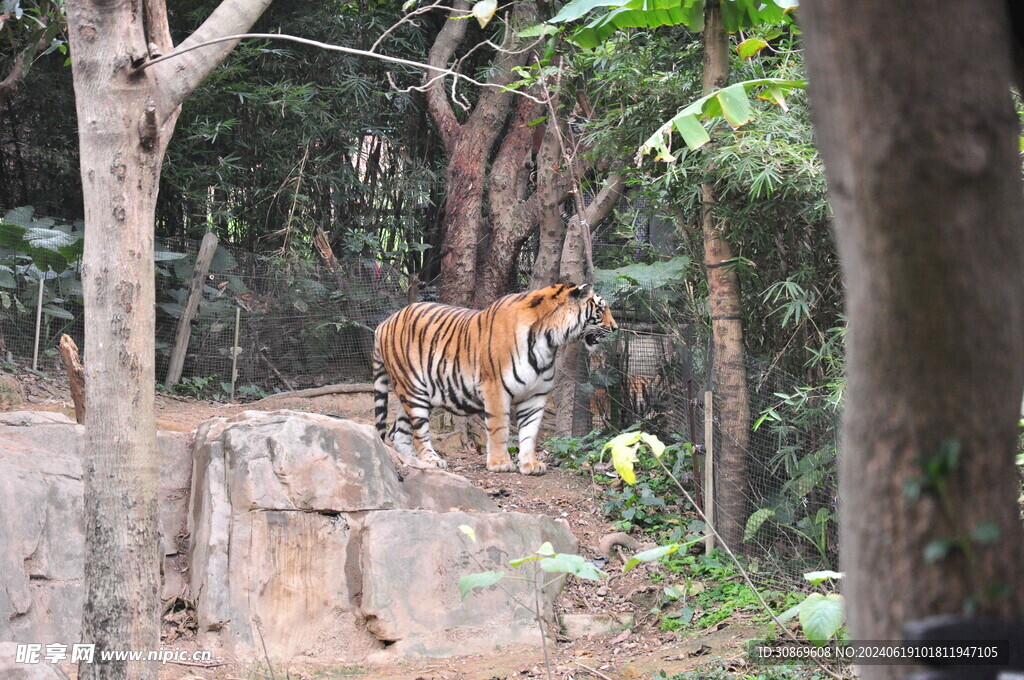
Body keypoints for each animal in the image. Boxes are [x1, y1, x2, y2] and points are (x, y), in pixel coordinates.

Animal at [374, 280, 614, 473]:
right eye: (601, 309)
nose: (615, 327)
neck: (548, 342)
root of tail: (385, 322)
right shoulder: (495, 388)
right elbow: (499, 428)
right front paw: (500, 463)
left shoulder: (536, 395)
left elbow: (530, 432)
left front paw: (530, 465)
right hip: (413, 388)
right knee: (419, 430)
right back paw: (431, 460)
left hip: (422, 391)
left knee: (399, 431)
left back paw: (413, 461)